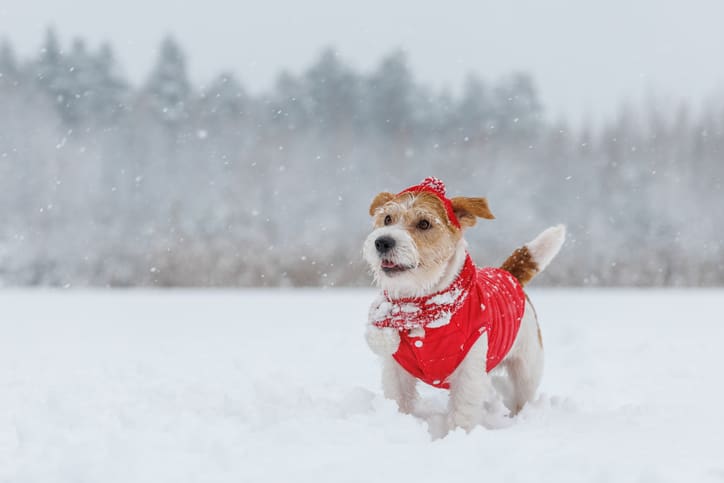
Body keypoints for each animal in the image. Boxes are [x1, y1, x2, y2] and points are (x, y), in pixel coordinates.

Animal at [362, 177, 564, 432]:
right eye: (387, 219)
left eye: (424, 223)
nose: (382, 241)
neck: (421, 304)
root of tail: (508, 274)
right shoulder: (396, 369)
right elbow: (398, 399)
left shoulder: (469, 371)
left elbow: (462, 412)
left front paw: (457, 435)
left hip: (527, 366)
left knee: (523, 394)